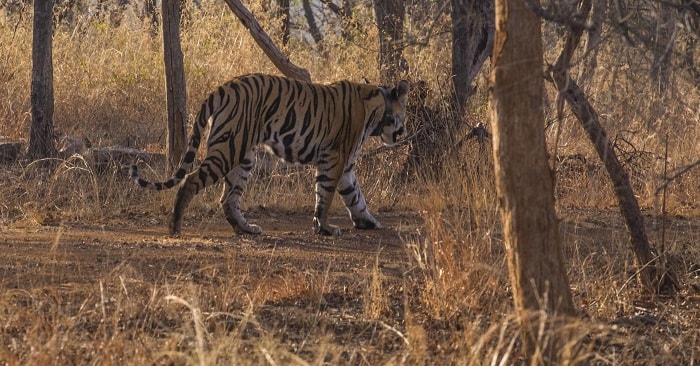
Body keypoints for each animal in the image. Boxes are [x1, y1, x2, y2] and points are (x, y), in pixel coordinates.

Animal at [130, 73, 410, 236]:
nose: (405, 130)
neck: (377, 111)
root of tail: (223, 87)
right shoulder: (334, 159)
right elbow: (326, 196)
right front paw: (326, 228)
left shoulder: (346, 165)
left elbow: (355, 196)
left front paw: (368, 221)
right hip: (228, 149)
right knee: (190, 182)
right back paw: (175, 227)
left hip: (243, 156)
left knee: (228, 198)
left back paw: (246, 229)